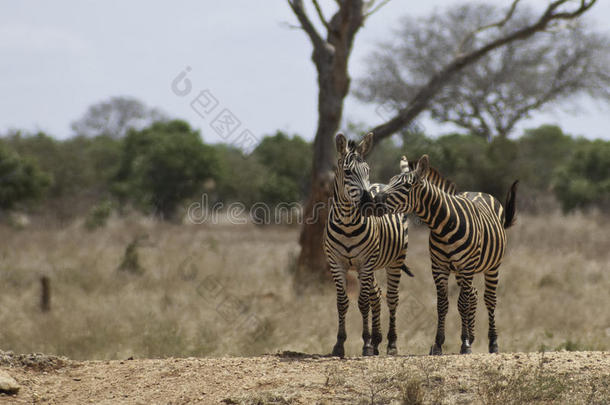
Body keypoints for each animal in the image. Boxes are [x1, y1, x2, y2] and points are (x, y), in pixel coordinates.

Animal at [320, 133, 410, 356]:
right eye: (348, 172)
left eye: (367, 170)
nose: (370, 203)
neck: (347, 224)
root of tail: (382, 184)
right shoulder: (336, 263)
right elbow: (342, 302)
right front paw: (339, 344)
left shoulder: (365, 262)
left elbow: (362, 302)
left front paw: (366, 344)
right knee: (376, 295)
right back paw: (377, 341)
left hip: (394, 261)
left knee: (391, 298)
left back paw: (391, 344)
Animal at [368, 155, 516, 354]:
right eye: (390, 181)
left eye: (406, 186)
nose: (374, 200)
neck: (444, 226)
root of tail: (480, 192)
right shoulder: (439, 267)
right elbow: (442, 304)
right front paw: (438, 344)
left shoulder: (466, 266)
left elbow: (462, 303)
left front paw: (465, 344)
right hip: (461, 272)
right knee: (474, 294)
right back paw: (472, 336)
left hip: (492, 266)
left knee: (489, 299)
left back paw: (492, 343)